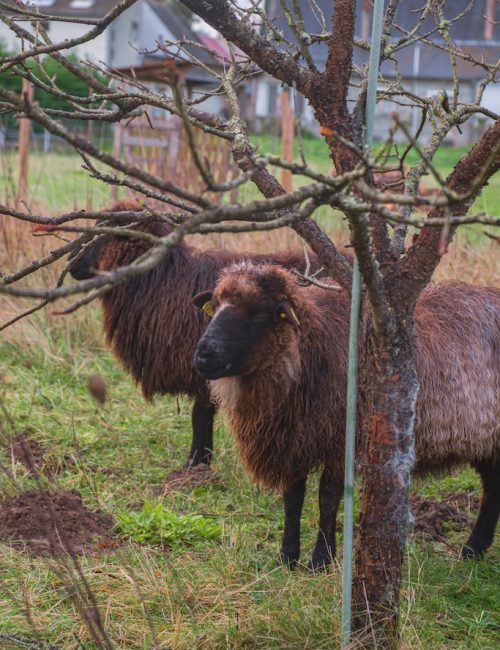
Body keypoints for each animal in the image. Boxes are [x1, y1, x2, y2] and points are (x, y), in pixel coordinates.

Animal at [68, 202, 318, 466]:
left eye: (103, 231)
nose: (70, 262)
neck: (165, 280)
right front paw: (202, 459)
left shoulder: (207, 365)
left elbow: (199, 415)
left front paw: (196, 462)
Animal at [193, 262, 498, 568]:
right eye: (215, 306)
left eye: (258, 314)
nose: (203, 355)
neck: (308, 347)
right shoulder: (293, 441)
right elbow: (292, 497)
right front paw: (287, 556)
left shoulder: (342, 441)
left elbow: (328, 497)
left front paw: (321, 559)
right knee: (492, 486)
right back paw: (474, 550)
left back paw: (473, 547)